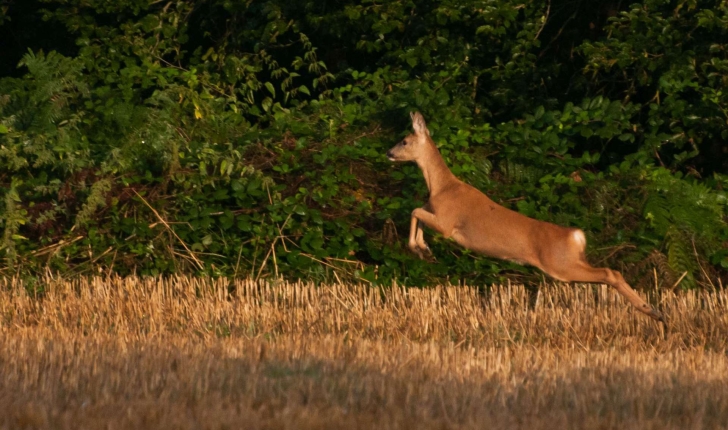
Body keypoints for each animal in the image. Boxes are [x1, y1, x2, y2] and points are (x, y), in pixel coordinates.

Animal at [386, 112, 664, 324]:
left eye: (404, 141)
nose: (389, 152)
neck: (442, 187)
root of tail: (576, 236)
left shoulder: (447, 223)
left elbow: (414, 211)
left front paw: (418, 248)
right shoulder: (437, 216)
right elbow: (419, 214)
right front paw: (424, 249)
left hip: (560, 265)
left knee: (610, 273)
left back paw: (653, 312)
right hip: (572, 261)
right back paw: (656, 312)